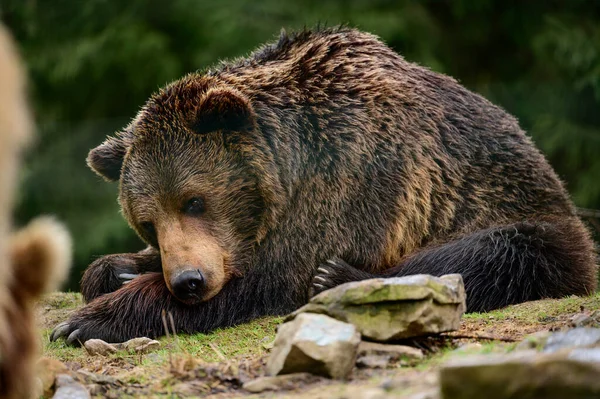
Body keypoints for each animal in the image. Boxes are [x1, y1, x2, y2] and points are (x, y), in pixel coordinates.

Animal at [50, 27, 596, 346]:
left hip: (520, 210)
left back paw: (337, 277)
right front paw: (116, 271)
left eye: (195, 200)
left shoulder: (352, 175)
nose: (188, 282)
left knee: (497, 254)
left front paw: (83, 322)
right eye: (147, 222)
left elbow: (273, 277)